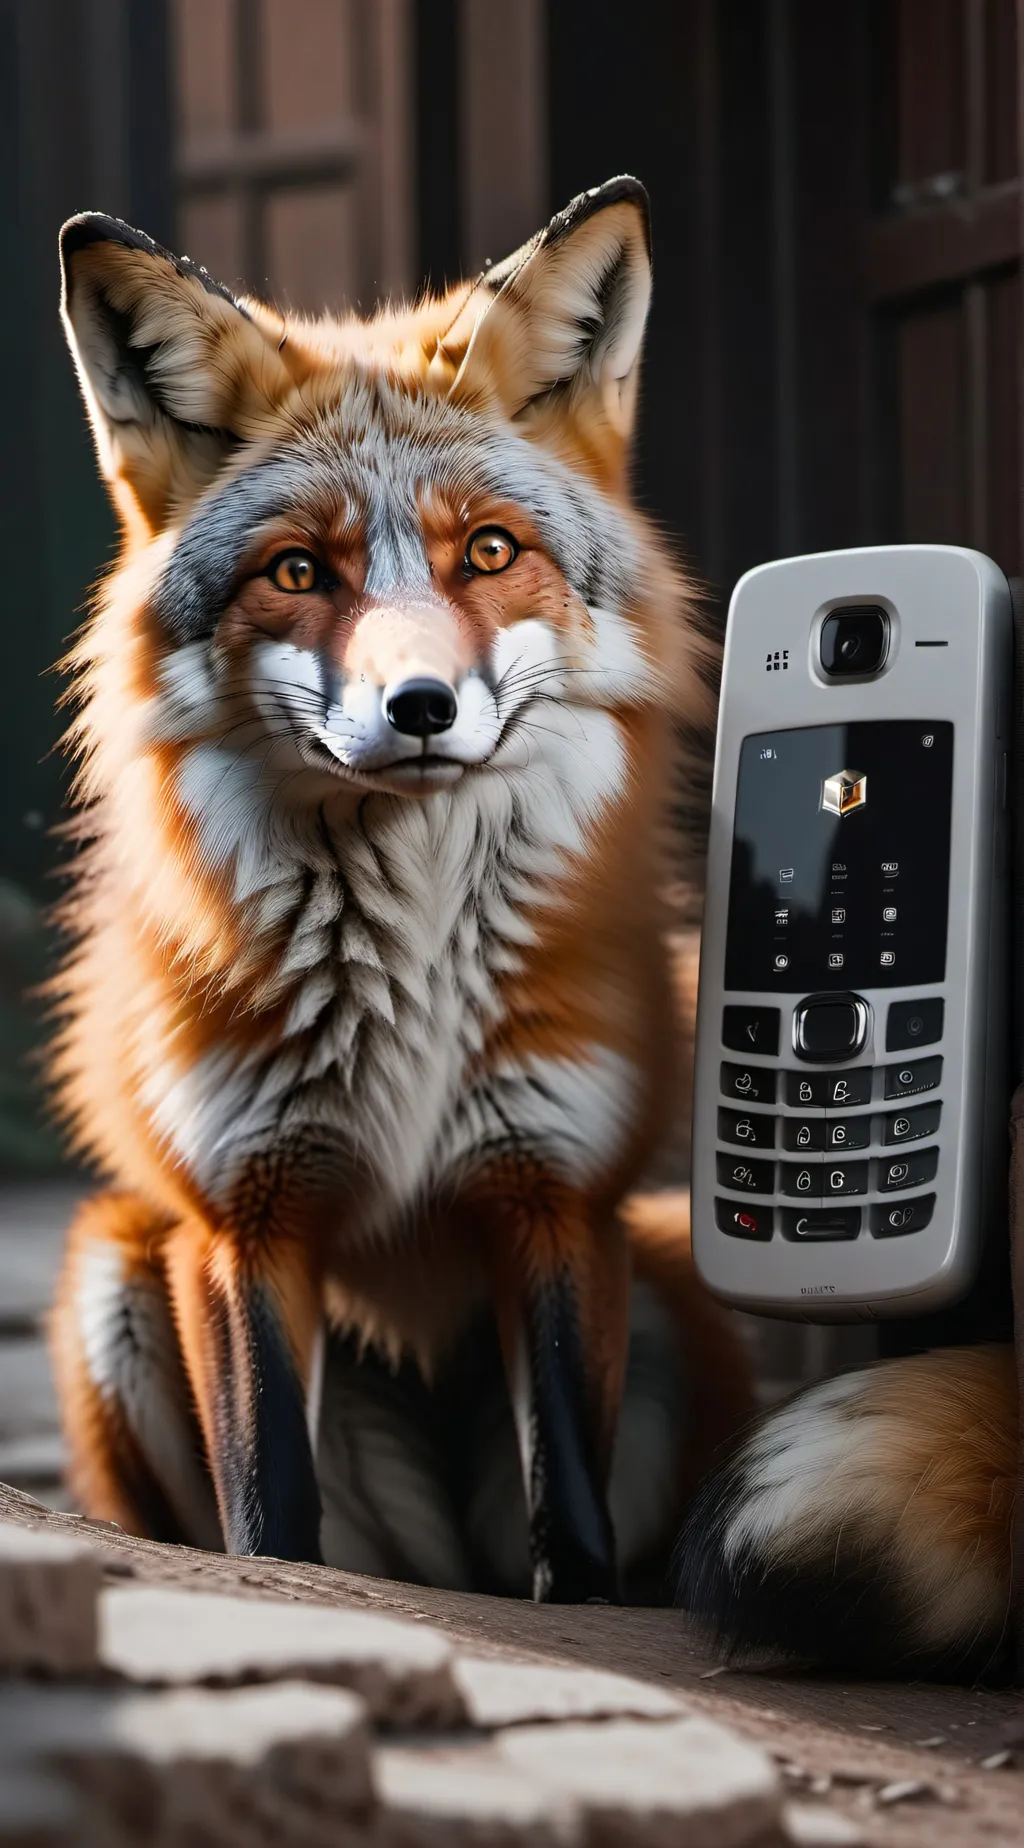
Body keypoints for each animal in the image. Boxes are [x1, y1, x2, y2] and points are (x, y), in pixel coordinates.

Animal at [48, 177, 755, 1603]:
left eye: (484, 551)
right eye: (296, 572)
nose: (419, 706)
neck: (416, 977)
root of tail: (444, 1569)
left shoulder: (552, 1193)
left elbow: (570, 1530)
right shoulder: (245, 1215)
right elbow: (271, 1514)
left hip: (662, 1301)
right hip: (115, 1272)